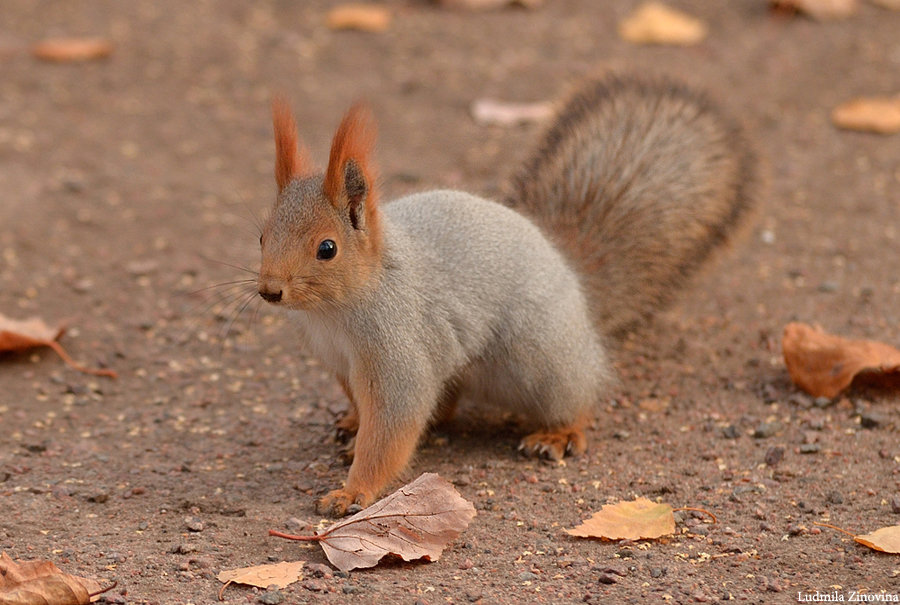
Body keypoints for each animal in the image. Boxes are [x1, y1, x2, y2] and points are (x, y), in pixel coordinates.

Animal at [256, 74, 756, 516]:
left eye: (327, 248)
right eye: (261, 235)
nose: (269, 291)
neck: (334, 311)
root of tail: (571, 274)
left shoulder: (398, 347)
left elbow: (392, 425)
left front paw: (353, 491)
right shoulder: (336, 360)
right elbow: (368, 408)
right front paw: (353, 423)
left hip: (540, 361)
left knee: (578, 394)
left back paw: (559, 434)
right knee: (446, 402)